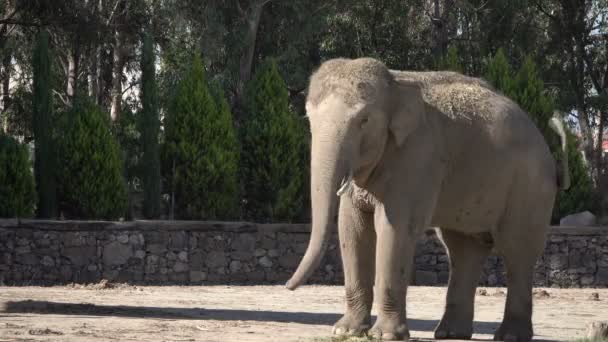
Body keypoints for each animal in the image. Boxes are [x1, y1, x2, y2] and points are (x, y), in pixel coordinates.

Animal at [284, 58, 568, 342]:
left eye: (363, 120)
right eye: (309, 118)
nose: (287, 287)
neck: (394, 85)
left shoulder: (418, 156)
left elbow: (394, 229)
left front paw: (385, 336)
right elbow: (351, 229)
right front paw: (346, 330)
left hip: (529, 188)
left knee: (516, 250)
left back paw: (509, 336)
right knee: (463, 249)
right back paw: (450, 333)